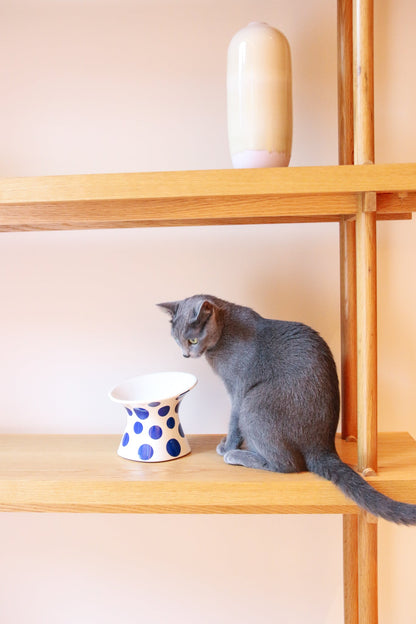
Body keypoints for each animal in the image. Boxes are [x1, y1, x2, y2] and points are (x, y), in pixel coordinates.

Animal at [158, 294, 416, 524]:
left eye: (192, 340)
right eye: (177, 340)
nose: (185, 354)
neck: (224, 333)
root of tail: (323, 447)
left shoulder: (238, 390)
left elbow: (233, 422)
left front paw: (227, 446)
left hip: (254, 403)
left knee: (288, 465)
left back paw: (238, 455)